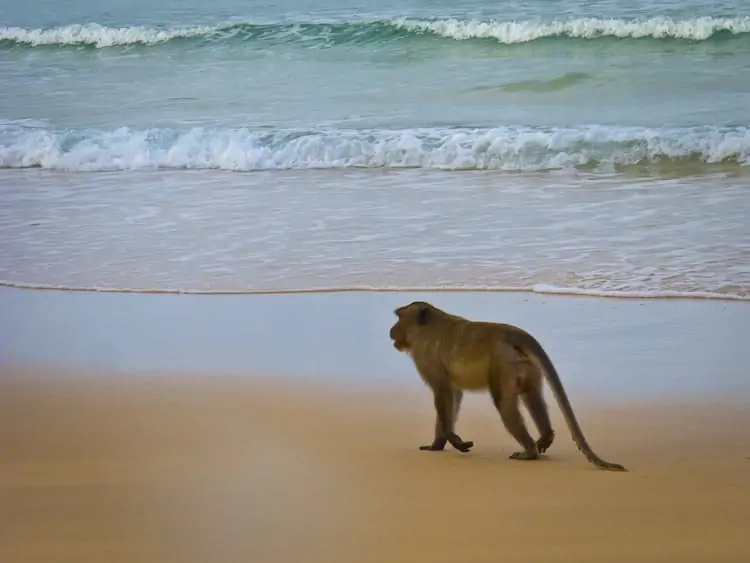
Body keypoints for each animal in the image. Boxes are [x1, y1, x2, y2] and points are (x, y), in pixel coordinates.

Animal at [388, 300, 628, 472]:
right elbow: (454, 395)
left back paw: (529, 451)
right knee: (532, 396)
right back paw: (545, 436)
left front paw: (450, 438)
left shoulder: (425, 357)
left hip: (504, 364)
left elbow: (443, 392)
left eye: (399, 317)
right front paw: (438, 444)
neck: (425, 328)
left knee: (503, 402)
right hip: (526, 366)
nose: (391, 330)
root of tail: (514, 334)